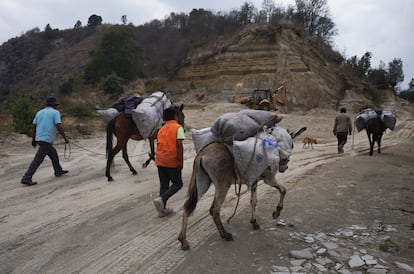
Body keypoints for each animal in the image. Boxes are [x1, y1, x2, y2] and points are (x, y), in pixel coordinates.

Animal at [176, 126, 306, 250]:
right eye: (292, 145)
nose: (285, 167)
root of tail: (202, 152)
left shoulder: (254, 181)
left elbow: (254, 201)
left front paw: (254, 222)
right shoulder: (269, 179)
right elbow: (283, 189)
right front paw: (277, 212)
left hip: (202, 182)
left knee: (187, 206)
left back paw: (183, 241)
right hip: (223, 184)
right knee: (214, 209)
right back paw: (225, 235)